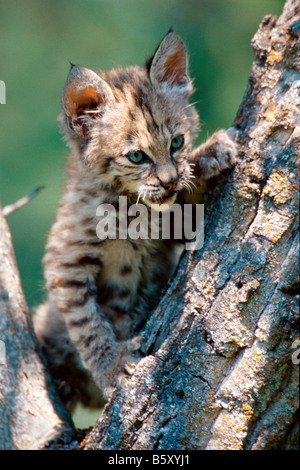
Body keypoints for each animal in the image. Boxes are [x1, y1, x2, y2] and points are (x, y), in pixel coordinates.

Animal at [34, 32, 237, 408]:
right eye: (137, 157)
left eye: (177, 143)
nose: (169, 180)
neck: (132, 206)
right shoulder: (64, 263)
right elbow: (88, 324)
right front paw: (112, 368)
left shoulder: (172, 227)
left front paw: (207, 156)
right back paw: (65, 382)